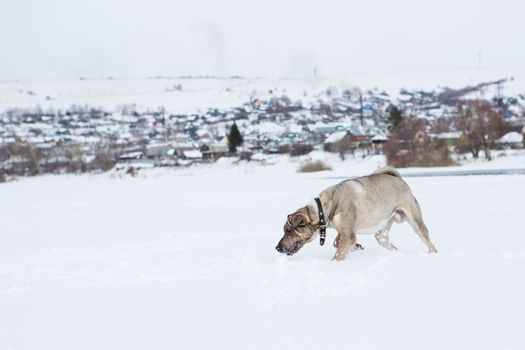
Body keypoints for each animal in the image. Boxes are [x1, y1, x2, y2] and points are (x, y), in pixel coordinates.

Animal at [274, 167, 438, 260]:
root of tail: (397, 177)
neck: (324, 209)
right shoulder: (345, 230)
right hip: (381, 234)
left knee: (429, 242)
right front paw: (356, 246)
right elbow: (338, 242)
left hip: (415, 220)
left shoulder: (347, 232)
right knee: (390, 244)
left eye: (288, 230)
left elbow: (339, 252)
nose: (277, 248)